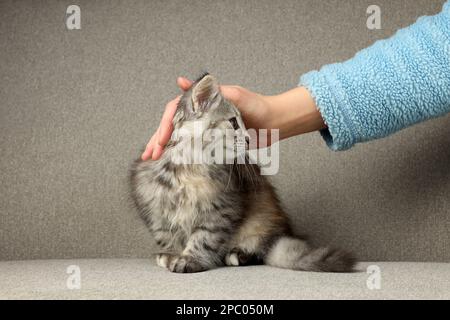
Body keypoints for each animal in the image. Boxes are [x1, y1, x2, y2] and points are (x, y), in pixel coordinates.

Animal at [130, 74, 356, 274]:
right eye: (233, 123)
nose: (248, 140)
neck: (191, 168)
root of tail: (280, 233)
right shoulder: (153, 206)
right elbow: (168, 236)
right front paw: (171, 255)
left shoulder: (222, 207)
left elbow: (204, 237)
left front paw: (190, 259)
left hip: (261, 223)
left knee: (262, 251)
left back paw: (238, 254)